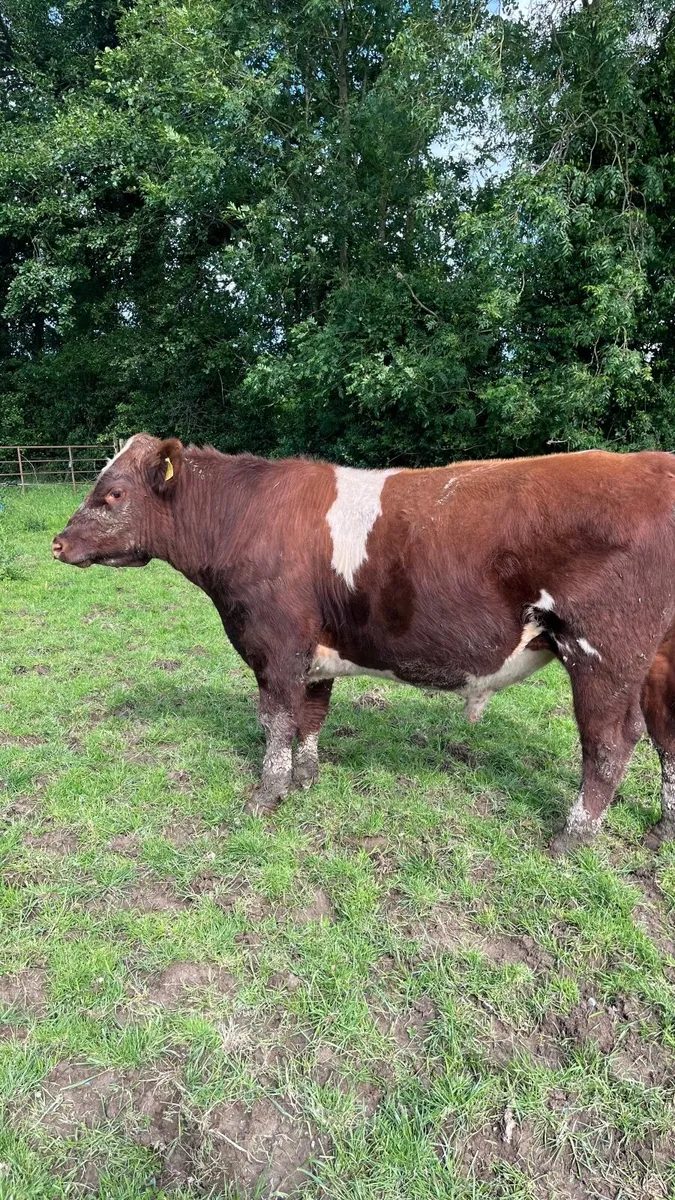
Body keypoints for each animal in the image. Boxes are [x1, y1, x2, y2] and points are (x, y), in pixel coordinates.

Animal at [52, 434, 675, 854]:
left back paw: (570, 839)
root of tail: (652, 462)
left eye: (113, 493)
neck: (244, 515)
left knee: (611, 743)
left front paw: (266, 795)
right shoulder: (314, 651)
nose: (57, 543)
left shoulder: (275, 644)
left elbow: (277, 719)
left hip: (602, 653)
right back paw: (662, 829)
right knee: (665, 733)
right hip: (658, 658)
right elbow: (310, 716)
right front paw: (305, 779)